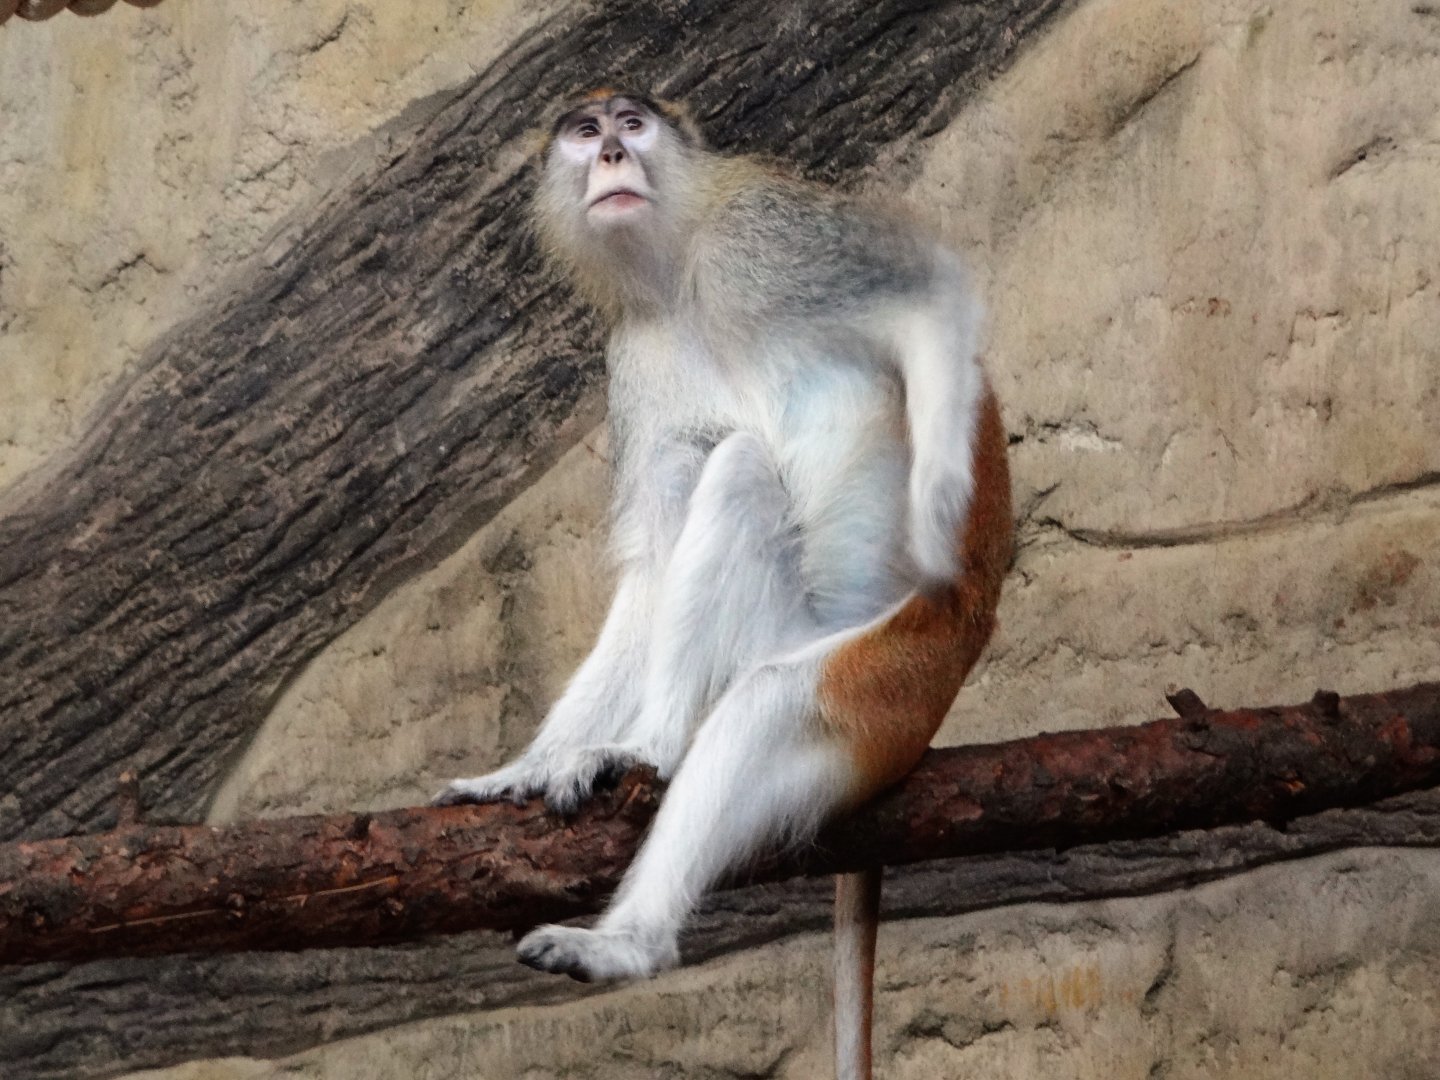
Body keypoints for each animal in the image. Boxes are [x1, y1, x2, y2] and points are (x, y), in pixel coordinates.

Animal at [435, 88, 1012, 1080]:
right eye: (583, 133)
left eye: (631, 121)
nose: (614, 155)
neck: (678, 272)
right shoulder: (636, 353)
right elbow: (649, 564)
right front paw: (524, 767)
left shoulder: (765, 231)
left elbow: (930, 291)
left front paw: (944, 495)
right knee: (714, 469)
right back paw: (636, 747)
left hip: (901, 670)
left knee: (769, 694)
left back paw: (638, 876)